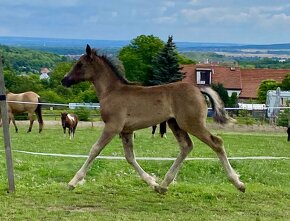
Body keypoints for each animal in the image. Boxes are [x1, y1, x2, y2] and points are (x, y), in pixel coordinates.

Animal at [61, 45, 245, 193]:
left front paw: (72, 182)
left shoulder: (113, 126)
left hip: (192, 123)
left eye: (80, 64)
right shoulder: (126, 130)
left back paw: (238, 183)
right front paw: (152, 182)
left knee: (216, 142)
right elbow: (130, 157)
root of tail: (198, 89)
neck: (111, 91)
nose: (64, 80)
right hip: (175, 124)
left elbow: (95, 149)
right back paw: (163, 185)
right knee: (186, 146)